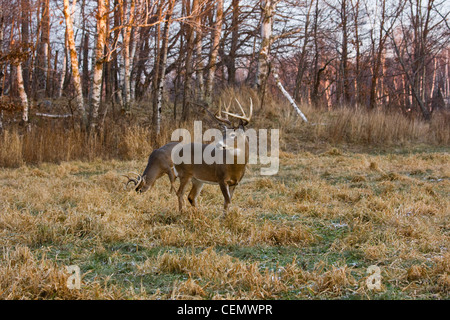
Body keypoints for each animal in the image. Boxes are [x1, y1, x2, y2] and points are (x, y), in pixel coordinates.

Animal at [123, 99, 253, 216]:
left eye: (233, 135)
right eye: (224, 133)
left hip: (198, 179)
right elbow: (227, 201)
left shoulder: (235, 183)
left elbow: (229, 201)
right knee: (180, 193)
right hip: (185, 174)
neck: (234, 166)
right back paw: (182, 213)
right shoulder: (221, 179)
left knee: (191, 196)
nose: (218, 144)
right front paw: (224, 218)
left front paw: (227, 216)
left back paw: (198, 213)